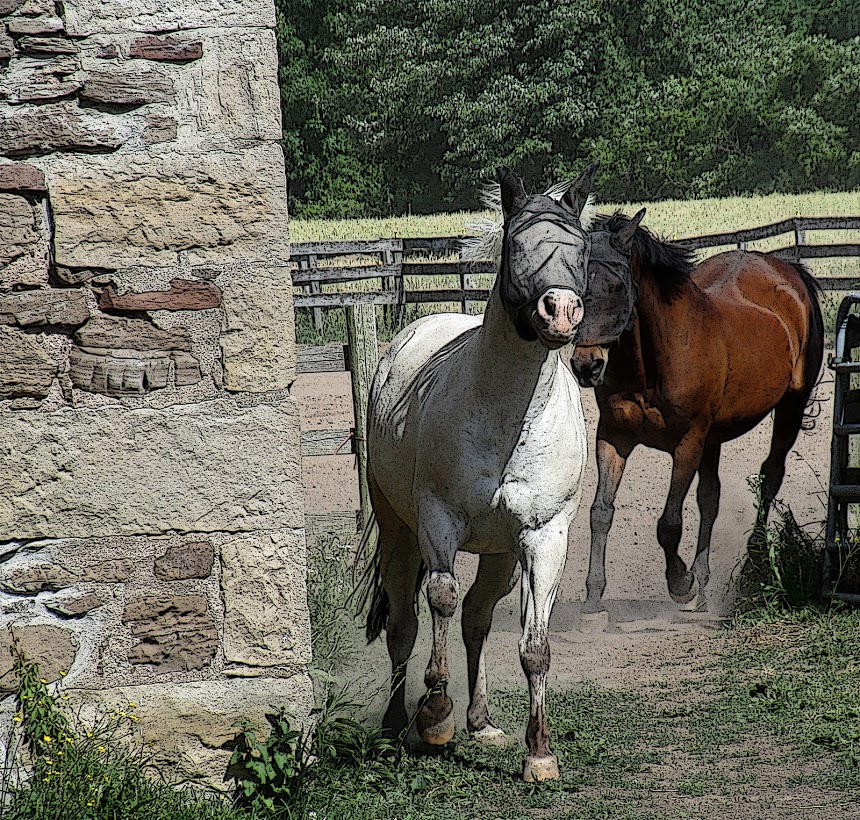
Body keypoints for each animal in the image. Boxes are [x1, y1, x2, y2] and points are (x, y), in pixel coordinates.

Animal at [360, 165, 596, 780]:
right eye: (516, 245)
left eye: (582, 249)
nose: (560, 311)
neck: (508, 418)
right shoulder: (438, 522)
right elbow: (439, 600)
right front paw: (436, 716)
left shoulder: (544, 538)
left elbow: (534, 646)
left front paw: (539, 754)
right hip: (399, 532)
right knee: (405, 622)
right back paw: (399, 723)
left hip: (501, 554)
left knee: (477, 617)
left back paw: (482, 721)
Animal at [572, 215, 828, 612]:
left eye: (616, 285)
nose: (587, 365)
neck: (653, 362)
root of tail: (789, 272)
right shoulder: (614, 436)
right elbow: (601, 511)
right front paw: (593, 596)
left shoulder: (688, 442)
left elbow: (669, 524)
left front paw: (681, 583)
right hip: (715, 436)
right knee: (711, 497)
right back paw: (706, 582)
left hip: (790, 407)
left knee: (770, 475)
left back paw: (752, 560)